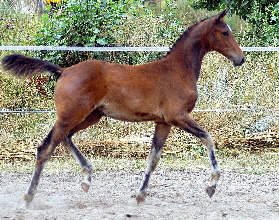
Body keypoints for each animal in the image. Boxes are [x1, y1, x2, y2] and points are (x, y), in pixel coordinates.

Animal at [0, 9, 245, 206]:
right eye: (225, 33)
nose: (240, 59)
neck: (178, 69)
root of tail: (63, 71)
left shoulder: (163, 122)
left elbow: (153, 159)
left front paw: (140, 195)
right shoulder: (178, 116)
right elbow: (208, 138)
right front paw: (211, 186)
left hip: (90, 116)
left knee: (66, 138)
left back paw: (86, 178)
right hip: (71, 115)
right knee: (45, 148)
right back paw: (29, 197)